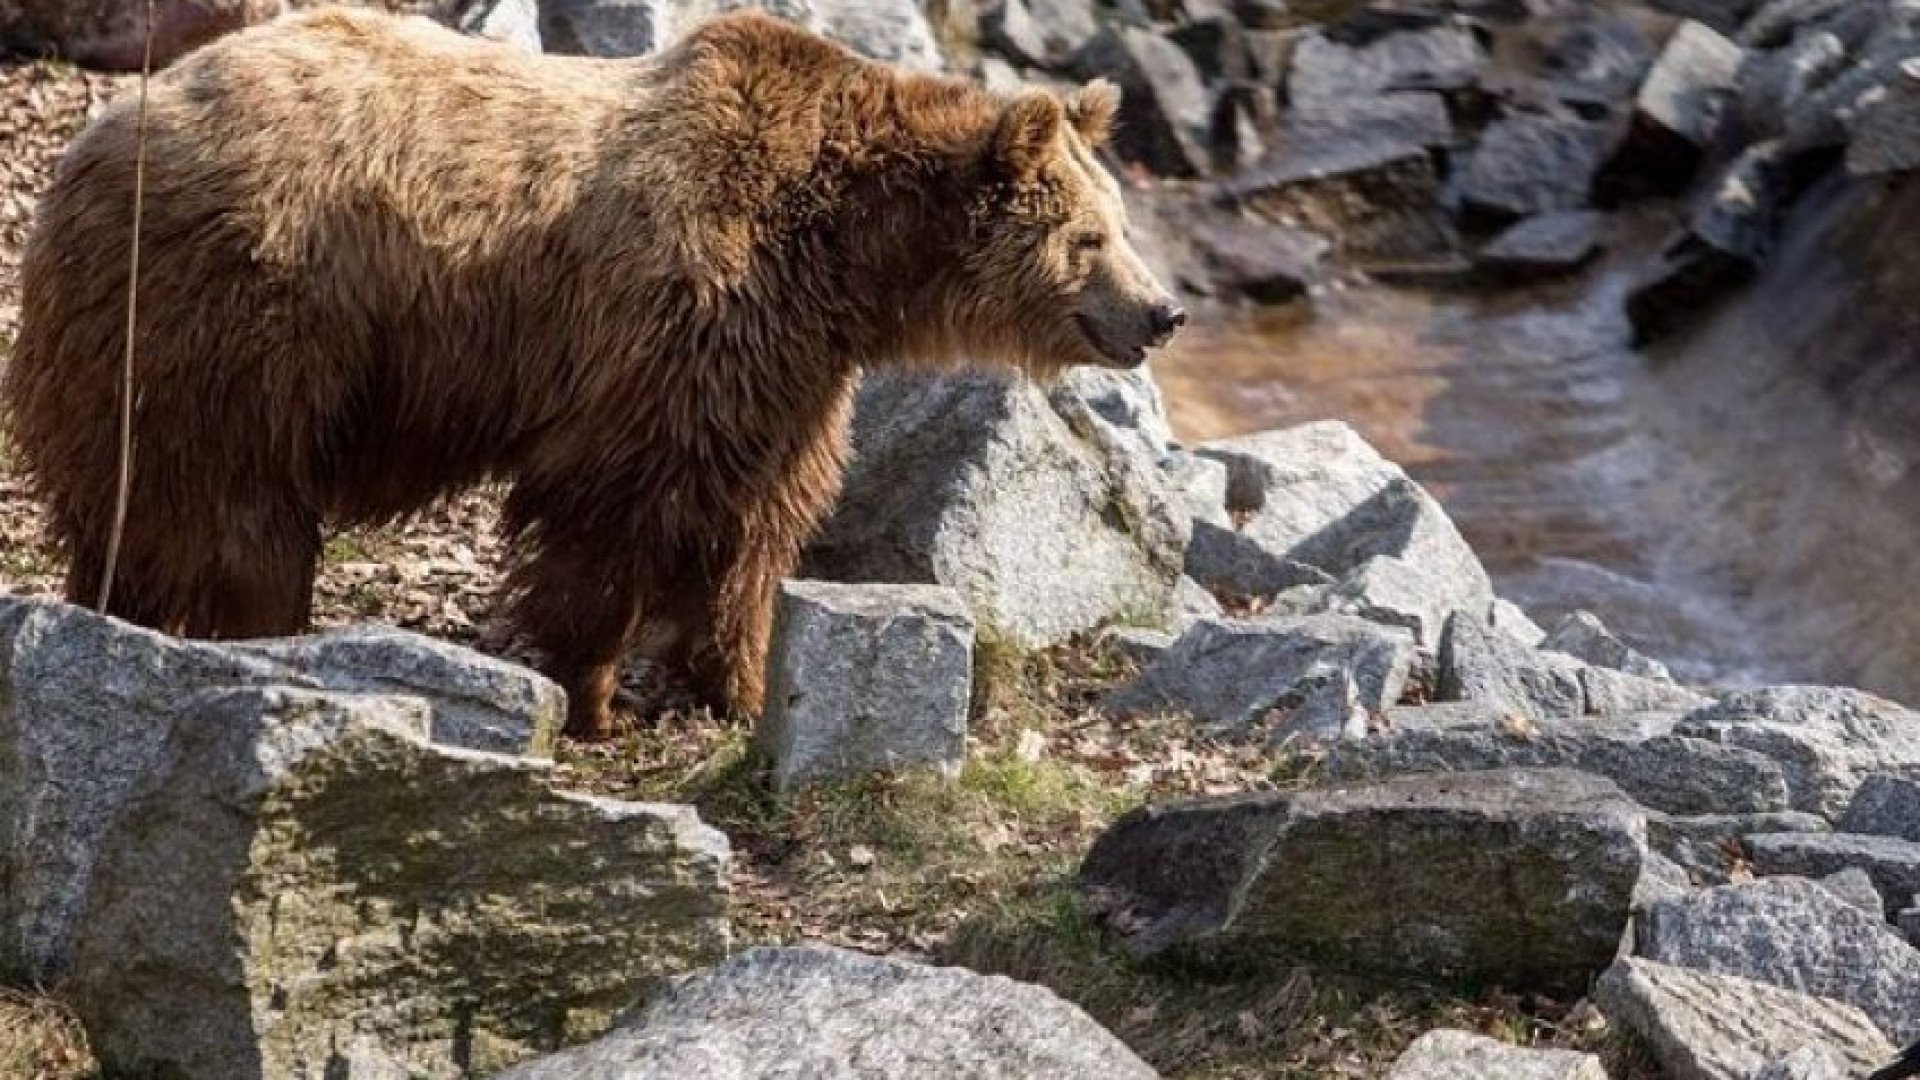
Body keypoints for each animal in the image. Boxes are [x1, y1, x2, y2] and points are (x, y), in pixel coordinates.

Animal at [3, 4, 1182, 734]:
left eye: (1121, 223)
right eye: (1088, 236)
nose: (1164, 311)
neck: (846, 252)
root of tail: (104, 133)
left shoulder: (787, 361)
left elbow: (755, 521)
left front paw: (739, 684)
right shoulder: (677, 314)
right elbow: (617, 509)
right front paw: (591, 695)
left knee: (134, 504)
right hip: (246, 312)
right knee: (231, 506)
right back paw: (249, 630)